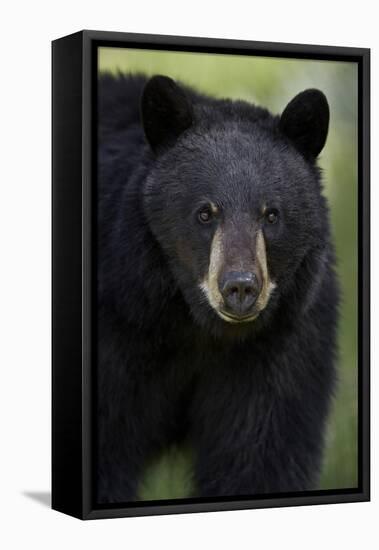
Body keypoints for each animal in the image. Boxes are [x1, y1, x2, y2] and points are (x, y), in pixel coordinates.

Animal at [97, 72, 338, 504]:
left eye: (271, 215)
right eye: (205, 213)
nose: (240, 287)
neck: (196, 328)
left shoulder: (284, 341)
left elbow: (262, 452)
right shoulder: (118, 322)